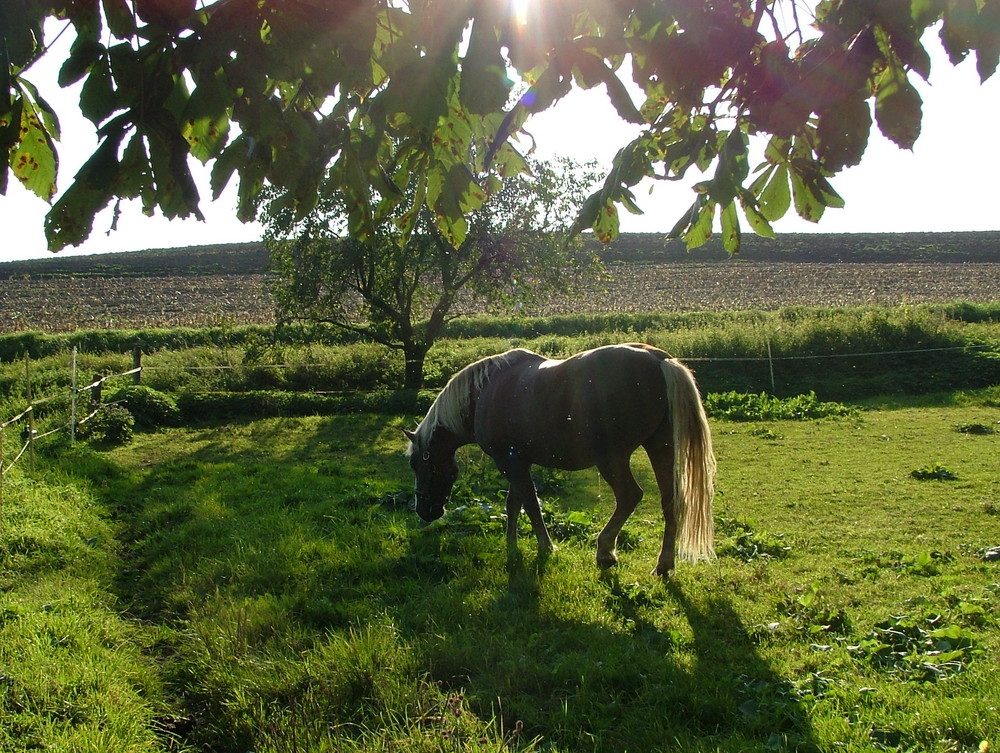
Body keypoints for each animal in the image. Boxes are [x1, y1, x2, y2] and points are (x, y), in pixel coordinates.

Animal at [402, 342, 716, 576]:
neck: (483, 394)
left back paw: (605, 551)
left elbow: (530, 503)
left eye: (418, 464)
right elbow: (514, 503)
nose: (425, 511)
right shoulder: (517, 463)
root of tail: (659, 360)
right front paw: (511, 543)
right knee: (670, 500)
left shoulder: (510, 464)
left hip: (612, 459)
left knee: (630, 496)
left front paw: (545, 546)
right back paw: (664, 564)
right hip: (660, 448)